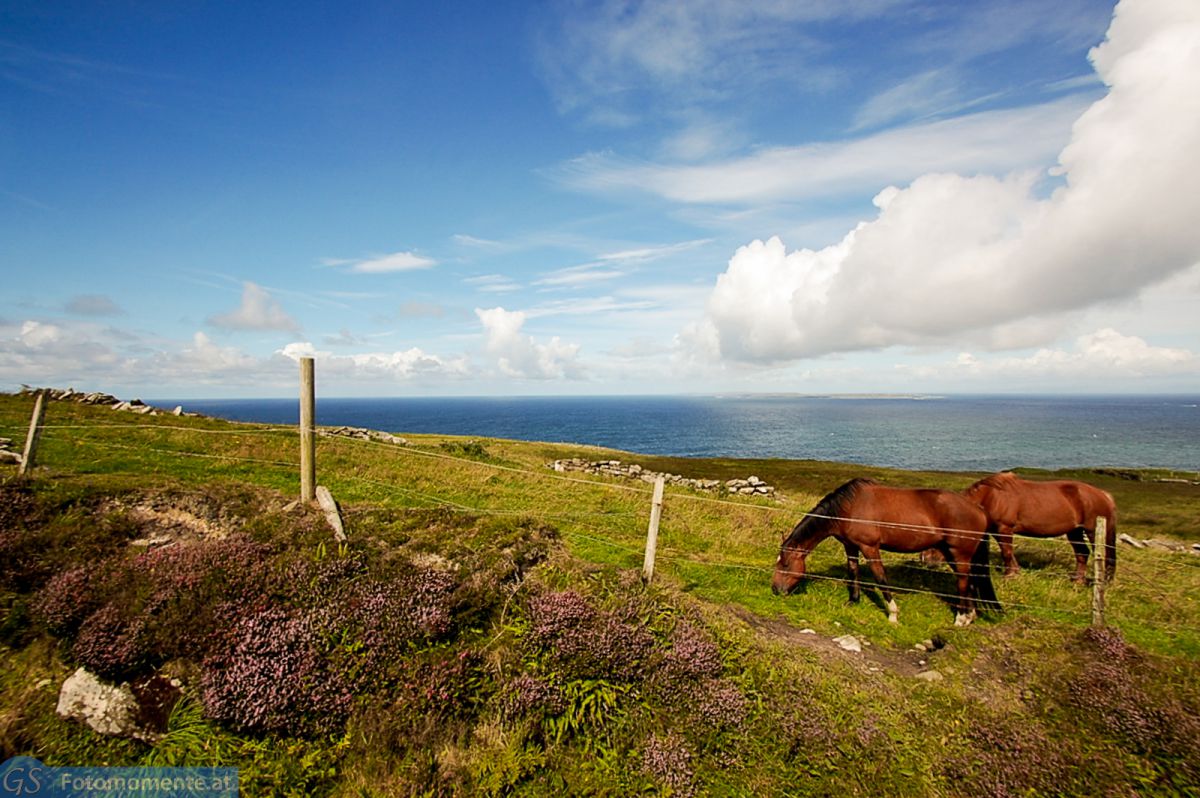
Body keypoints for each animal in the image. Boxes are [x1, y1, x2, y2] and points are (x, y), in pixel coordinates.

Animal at [772, 475, 998, 624]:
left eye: (786, 564)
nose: (775, 590)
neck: (849, 507)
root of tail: (979, 509)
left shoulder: (870, 548)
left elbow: (880, 578)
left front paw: (892, 614)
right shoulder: (850, 546)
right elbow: (853, 572)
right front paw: (853, 601)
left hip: (959, 554)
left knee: (963, 582)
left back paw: (960, 618)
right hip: (954, 553)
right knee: (969, 581)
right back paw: (970, 616)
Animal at [960, 470, 1118, 583]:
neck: (991, 496)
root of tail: (1103, 495)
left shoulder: (1004, 529)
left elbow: (1007, 553)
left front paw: (1009, 576)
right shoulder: (997, 531)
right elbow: (1008, 552)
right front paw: (1015, 572)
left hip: (1092, 531)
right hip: (1075, 531)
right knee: (1082, 553)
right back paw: (1077, 581)